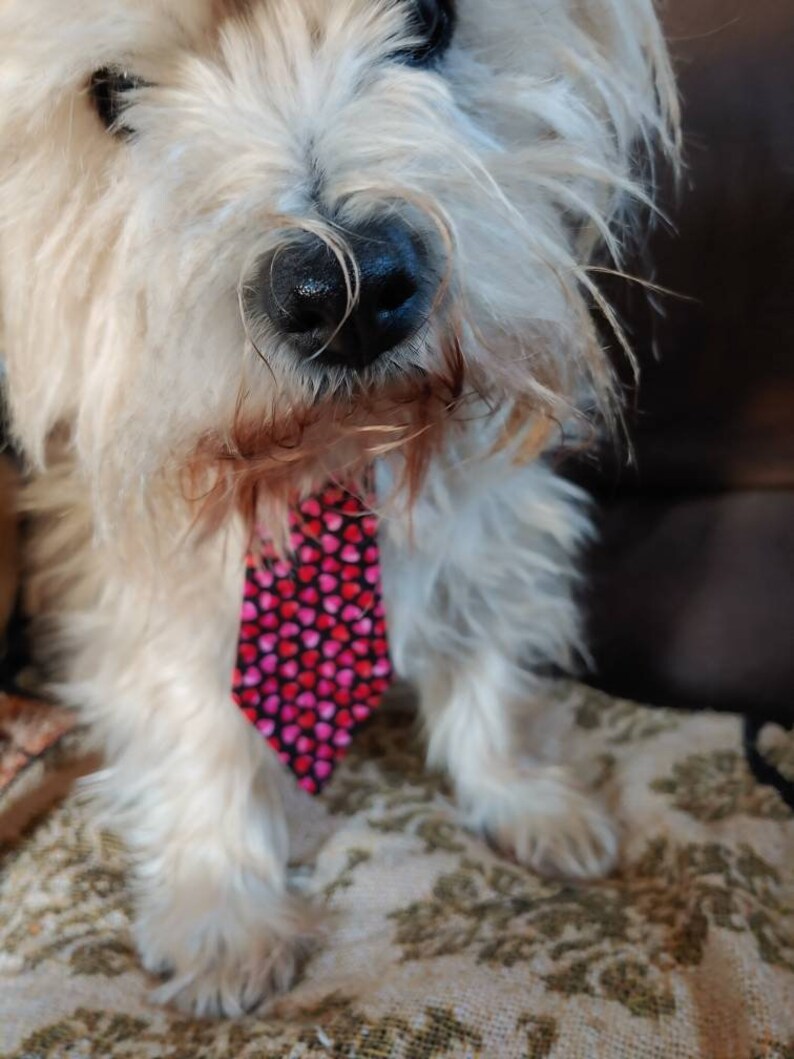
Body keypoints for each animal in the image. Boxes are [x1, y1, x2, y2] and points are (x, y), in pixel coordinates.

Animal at [0, 0, 677, 1016]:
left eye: (429, 21)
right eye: (112, 91)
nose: (351, 290)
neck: (333, 462)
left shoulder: (488, 528)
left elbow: (488, 660)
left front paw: (521, 791)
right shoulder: (157, 590)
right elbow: (195, 719)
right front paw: (223, 902)